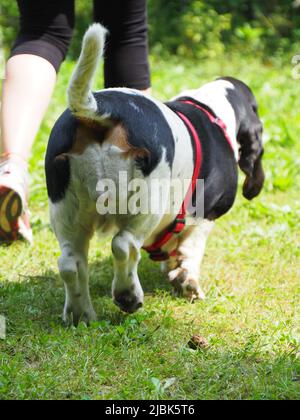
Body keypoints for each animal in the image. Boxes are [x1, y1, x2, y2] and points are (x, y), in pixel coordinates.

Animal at [45, 24, 264, 324]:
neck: (212, 109)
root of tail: (98, 110)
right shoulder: (205, 215)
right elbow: (191, 251)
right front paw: (188, 284)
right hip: (145, 205)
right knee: (123, 245)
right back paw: (128, 296)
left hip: (67, 210)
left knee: (70, 262)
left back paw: (81, 314)